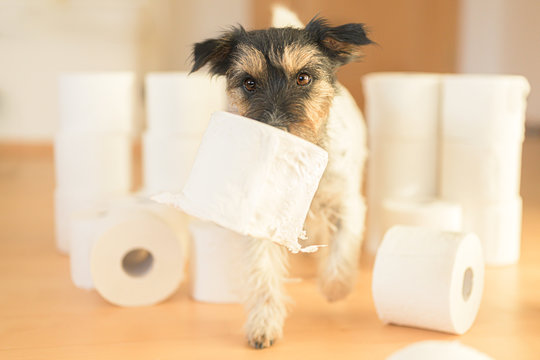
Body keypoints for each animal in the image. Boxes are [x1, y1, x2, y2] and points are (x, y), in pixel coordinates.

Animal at [190, 15, 372, 348]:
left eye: (303, 78)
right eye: (249, 83)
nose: (275, 131)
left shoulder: (346, 204)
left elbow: (342, 255)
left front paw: (333, 289)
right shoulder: (260, 215)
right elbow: (263, 274)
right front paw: (263, 325)